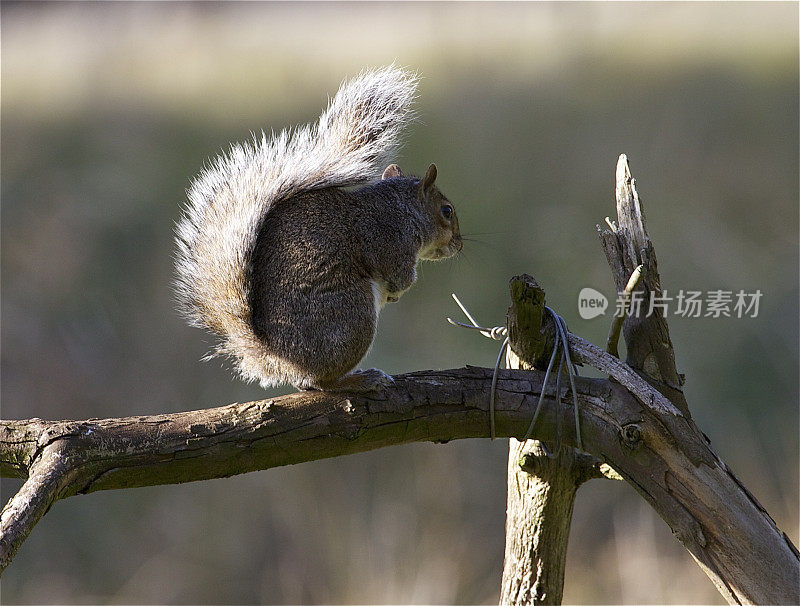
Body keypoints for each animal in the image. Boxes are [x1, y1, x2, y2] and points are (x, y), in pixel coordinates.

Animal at [175, 64, 462, 392]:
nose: (459, 244)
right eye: (447, 211)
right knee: (322, 382)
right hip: (352, 314)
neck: (402, 209)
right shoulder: (391, 242)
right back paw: (361, 379)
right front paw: (397, 293)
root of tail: (278, 358)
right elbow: (399, 276)